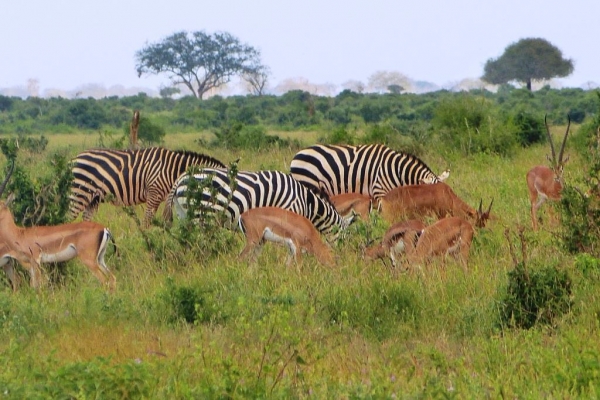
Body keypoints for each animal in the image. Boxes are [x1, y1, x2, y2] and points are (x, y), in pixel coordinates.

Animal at [0, 162, 117, 290]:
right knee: (112, 278)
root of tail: (104, 229)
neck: (19, 235)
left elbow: (38, 286)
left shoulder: (35, 261)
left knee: (104, 281)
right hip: (100, 259)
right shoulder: (30, 264)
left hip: (89, 260)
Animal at [68, 147, 226, 228]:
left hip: (93, 198)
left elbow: (167, 222)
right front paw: (147, 243)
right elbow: (147, 222)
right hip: (79, 193)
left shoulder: (168, 198)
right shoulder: (154, 193)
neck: (172, 170)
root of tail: (74, 158)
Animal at [164, 168, 352, 239]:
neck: (306, 202)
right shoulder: (287, 213)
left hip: (184, 213)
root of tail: (183, 176)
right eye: (345, 238)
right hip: (203, 214)